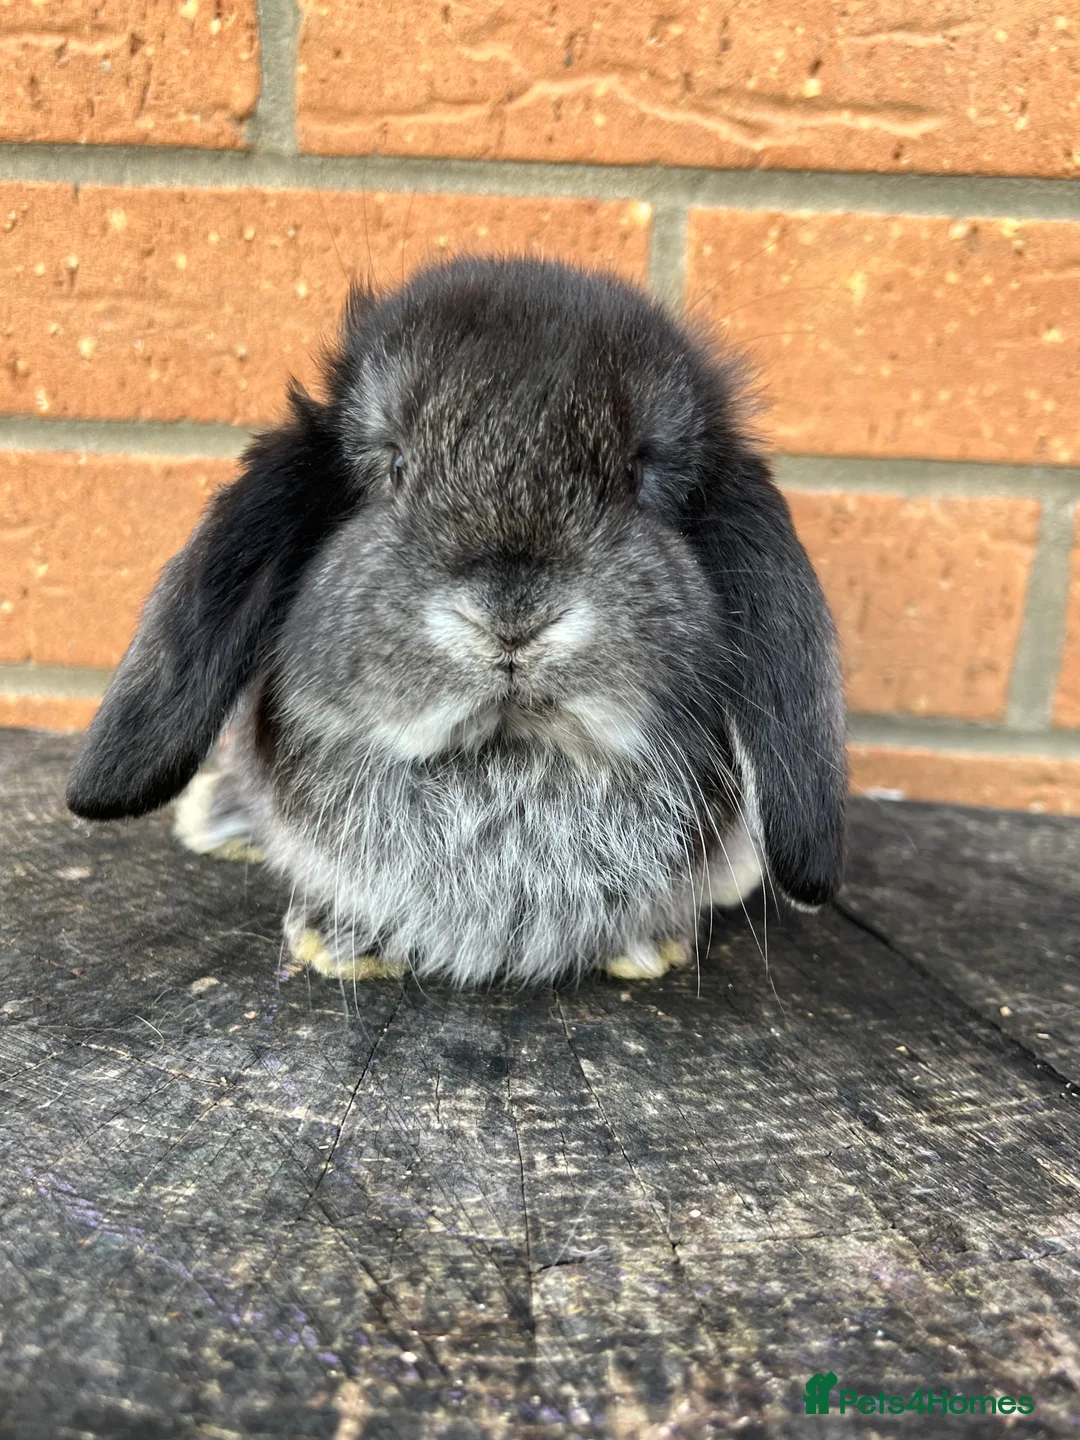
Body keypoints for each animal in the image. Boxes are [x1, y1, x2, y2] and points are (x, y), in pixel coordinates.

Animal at [67, 255, 847, 987]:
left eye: (636, 476)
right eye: (396, 466)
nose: (511, 619)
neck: (505, 770)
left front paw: (646, 947)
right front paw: (340, 942)